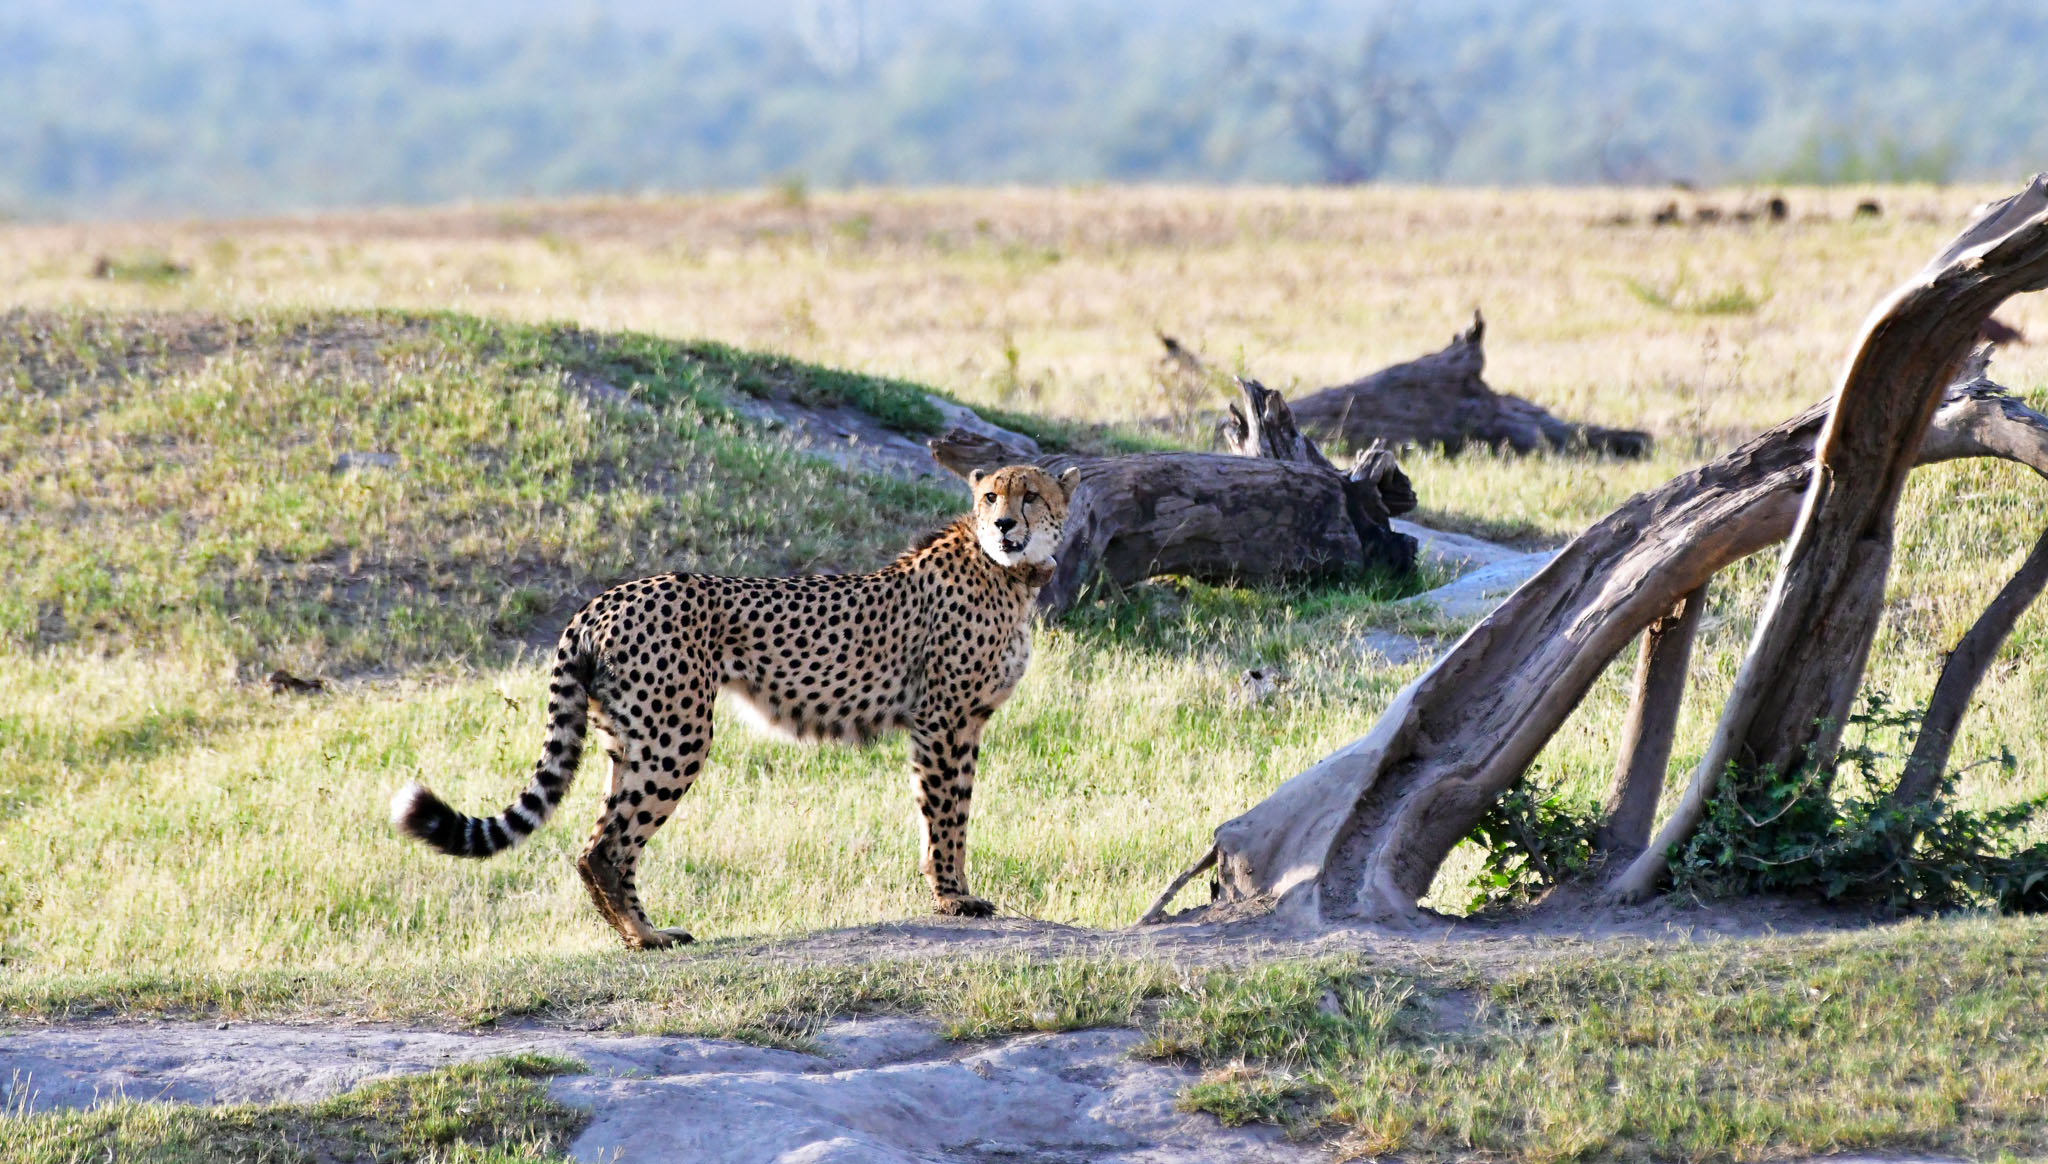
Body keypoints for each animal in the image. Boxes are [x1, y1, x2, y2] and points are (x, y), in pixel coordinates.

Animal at [389, 463, 1079, 949]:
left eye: (1030, 496)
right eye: (990, 498)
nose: (1005, 527)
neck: (1008, 574)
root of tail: (606, 596)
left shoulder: (961, 722)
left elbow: (948, 809)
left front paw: (951, 891)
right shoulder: (942, 720)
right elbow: (945, 813)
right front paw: (953, 898)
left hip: (630, 737)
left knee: (598, 840)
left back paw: (641, 933)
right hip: (676, 736)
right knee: (607, 846)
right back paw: (646, 937)